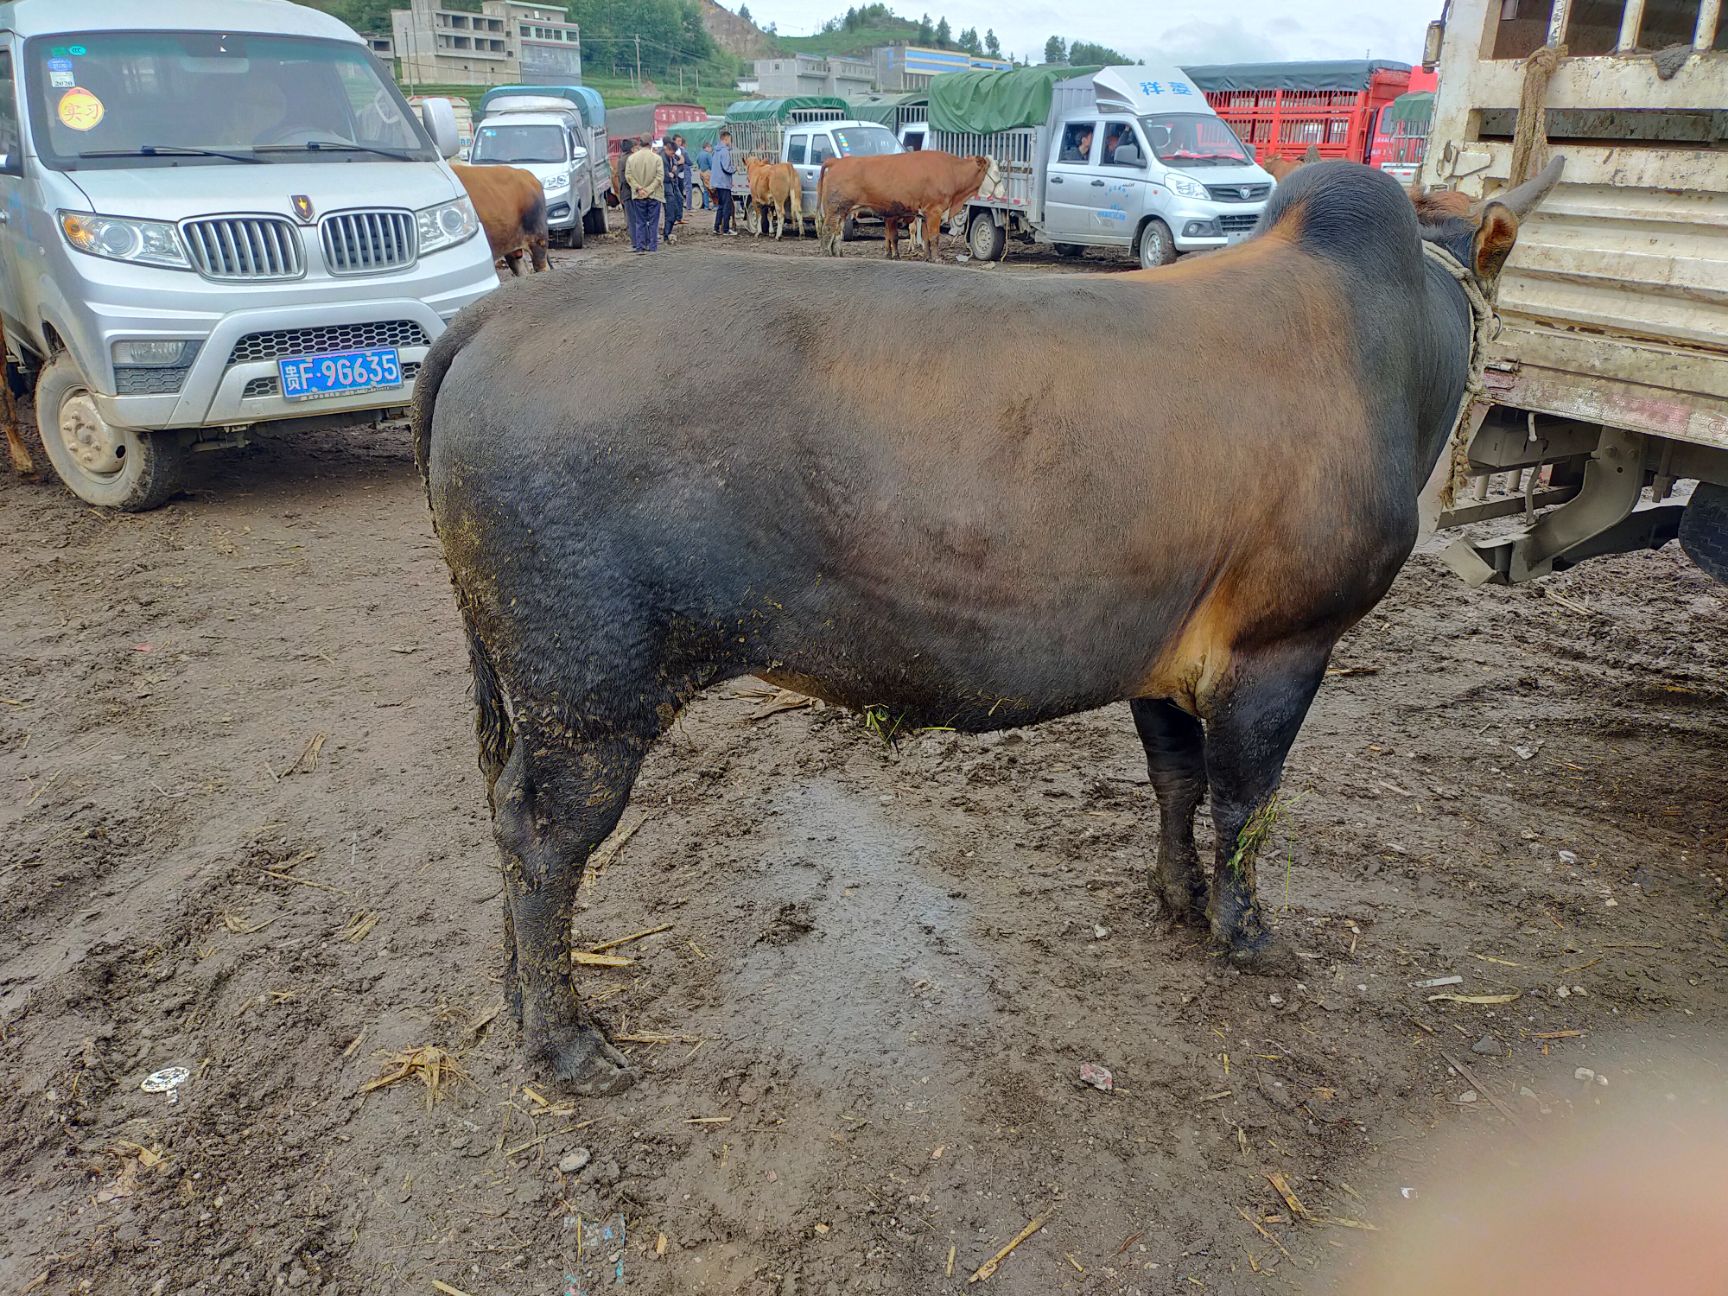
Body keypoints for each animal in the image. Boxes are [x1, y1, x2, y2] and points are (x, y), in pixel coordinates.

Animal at [815, 151, 1009, 262]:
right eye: (996, 172)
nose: (1003, 191)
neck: (951, 171)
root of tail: (837, 161)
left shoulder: (925, 214)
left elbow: (926, 239)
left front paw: (928, 257)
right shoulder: (934, 211)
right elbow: (934, 238)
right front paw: (937, 259)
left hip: (842, 211)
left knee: (836, 233)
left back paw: (837, 254)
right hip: (835, 209)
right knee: (827, 231)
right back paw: (826, 254)